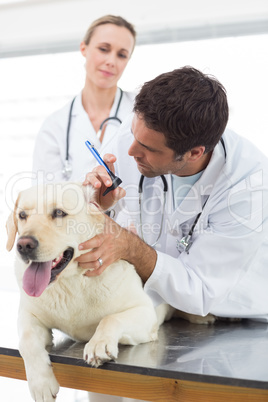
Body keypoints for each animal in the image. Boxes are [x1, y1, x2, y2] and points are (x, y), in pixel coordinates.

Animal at [5, 183, 216, 402]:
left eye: (58, 213)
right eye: (22, 215)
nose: (24, 245)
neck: (73, 281)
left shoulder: (145, 312)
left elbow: (111, 319)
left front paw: (99, 344)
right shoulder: (29, 315)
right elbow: (27, 341)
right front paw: (41, 383)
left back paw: (202, 316)